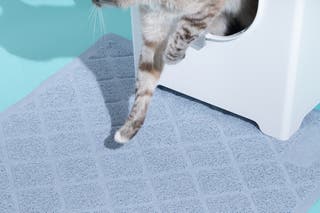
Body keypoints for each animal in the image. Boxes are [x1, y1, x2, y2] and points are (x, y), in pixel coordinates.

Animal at [92, 0, 258, 143]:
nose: (92, 3)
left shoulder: (202, 11)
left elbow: (182, 35)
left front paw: (173, 57)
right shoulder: (152, 40)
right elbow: (143, 90)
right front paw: (127, 131)